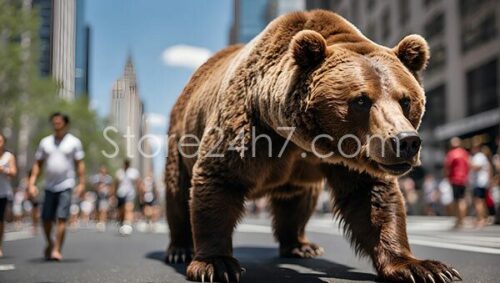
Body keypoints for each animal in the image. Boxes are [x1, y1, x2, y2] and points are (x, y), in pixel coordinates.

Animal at [165, 9, 460, 283]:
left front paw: (423, 267)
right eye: (361, 100)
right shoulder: (249, 128)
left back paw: (301, 245)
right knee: (177, 190)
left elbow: (372, 199)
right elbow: (219, 180)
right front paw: (216, 264)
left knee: (297, 202)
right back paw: (179, 248)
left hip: (298, 181)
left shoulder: (349, 159)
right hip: (181, 136)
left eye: (405, 100)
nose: (406, 140)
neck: (300, 140)